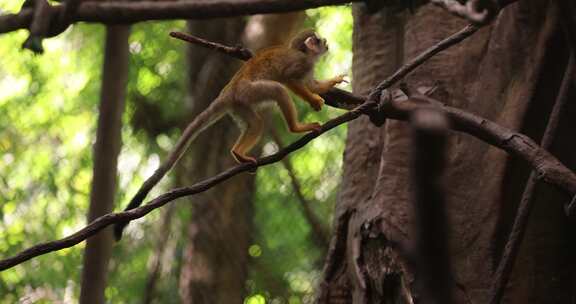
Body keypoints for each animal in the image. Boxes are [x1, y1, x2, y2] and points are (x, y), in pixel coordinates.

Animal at [115, 30, 344, 240]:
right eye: (320, 40)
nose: (326, 43)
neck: (304, 54)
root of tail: (228, 92)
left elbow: (312, 84)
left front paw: (332, 82)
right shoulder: (301, 63)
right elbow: (289, 79)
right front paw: (313, 100)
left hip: (240, 106)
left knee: (255, 122)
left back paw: (237, 153)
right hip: (248, 92)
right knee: (278, 91)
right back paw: (295, 128)